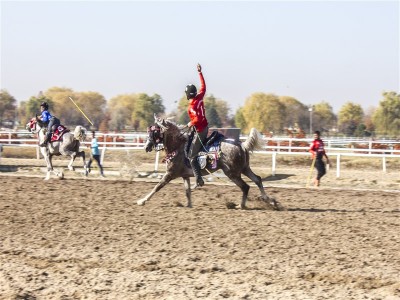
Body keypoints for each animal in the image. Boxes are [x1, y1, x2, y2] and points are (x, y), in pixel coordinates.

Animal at [136, 115, 280, 209]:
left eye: (155, 132)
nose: (146, 147)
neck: (178, 147)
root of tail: (242, 145)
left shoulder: (169, 174)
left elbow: (157, 187)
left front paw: (142, 200)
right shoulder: (185, 176)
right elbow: (187, 191)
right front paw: (189, 205)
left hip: (232, 173)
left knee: (245, 186)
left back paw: (241, 205)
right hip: (244, 169)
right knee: (257, 180)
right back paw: (270, 201)